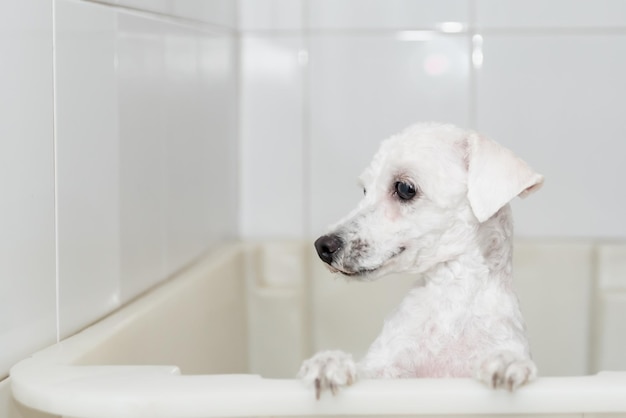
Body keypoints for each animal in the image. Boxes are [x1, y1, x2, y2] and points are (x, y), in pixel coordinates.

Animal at [298, 121, 540, 398]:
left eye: (404, 188)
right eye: (365, 190)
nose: (322, 246)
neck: (451, 302)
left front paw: (506, 363)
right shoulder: (387, 366)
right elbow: (366, 370)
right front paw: (330, 363)